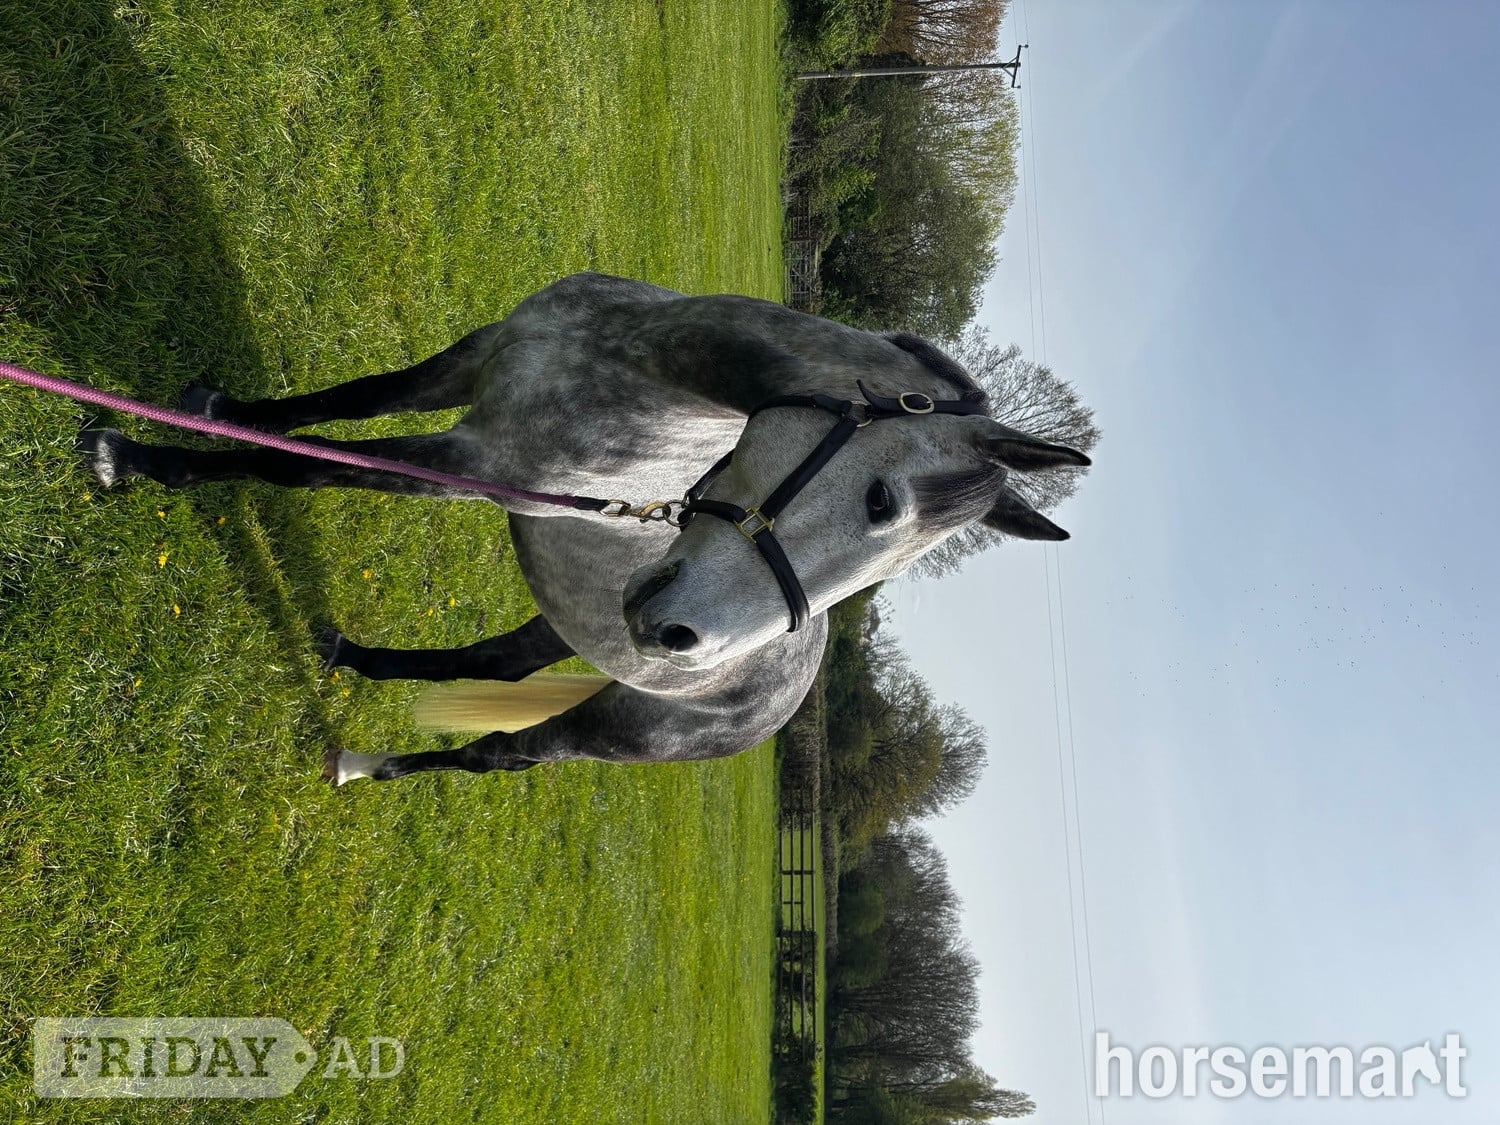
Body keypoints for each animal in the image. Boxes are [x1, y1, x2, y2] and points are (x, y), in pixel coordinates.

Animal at [75, 272, 1091, 784]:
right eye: (884, 504)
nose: (679, 637)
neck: (639, 361)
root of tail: (782, 702)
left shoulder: (469, 464)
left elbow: (300, 463)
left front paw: (134, 458)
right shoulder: (476, 357)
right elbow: (345, 401)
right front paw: (217, 407)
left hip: (606, 728)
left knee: (492, 756)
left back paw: (365, 764)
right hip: (573, 620)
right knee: (493, 663)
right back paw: (350, 659)